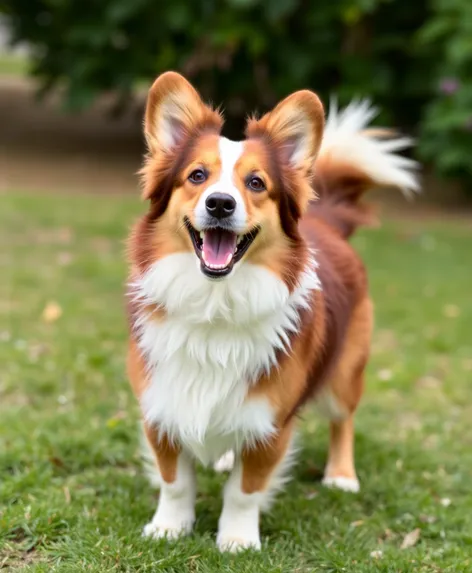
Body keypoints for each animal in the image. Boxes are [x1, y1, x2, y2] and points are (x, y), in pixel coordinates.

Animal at [124, 70, 416, 548]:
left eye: (256, 183)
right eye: (197, 176)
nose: (220, 203)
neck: (216, 302)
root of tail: (328, 220)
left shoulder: (270, 422)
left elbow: (245, 490)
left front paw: (237, 539)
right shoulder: (161, 404)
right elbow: (175, 481)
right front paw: (169, 527)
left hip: (345, 372)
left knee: (344, 421)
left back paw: (341, 475)